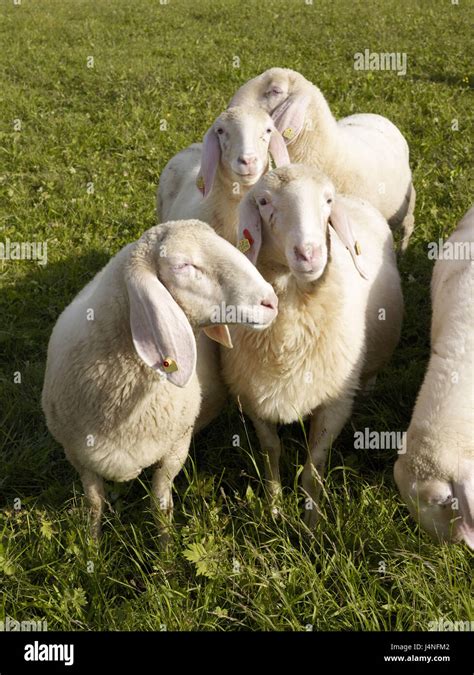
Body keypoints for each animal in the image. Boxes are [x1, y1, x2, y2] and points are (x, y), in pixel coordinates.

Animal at [41, 219, 278, 540]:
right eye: (183, 265)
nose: (271, 301)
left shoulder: (175, 447)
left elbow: (160, 500)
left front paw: (165, 546)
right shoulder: (77, 455)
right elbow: (95, 502)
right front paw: (93, 542)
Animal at [219, 165, 404, 528]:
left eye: (327, 200)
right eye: (264, 201)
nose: (309, 254)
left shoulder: (335, 403)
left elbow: (312, 468)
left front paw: (311, 523)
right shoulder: (253, 397)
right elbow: (271, 451)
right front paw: (275, 506)